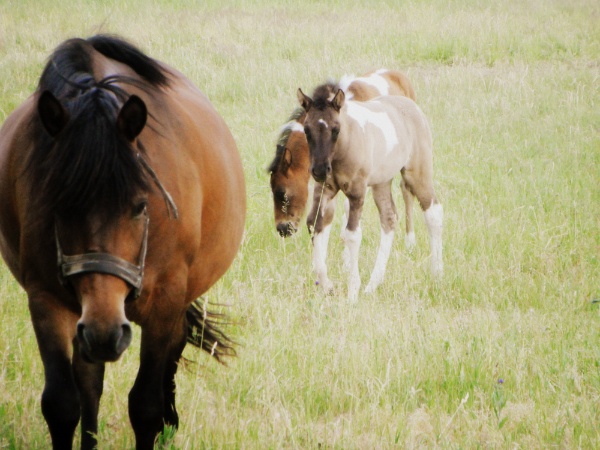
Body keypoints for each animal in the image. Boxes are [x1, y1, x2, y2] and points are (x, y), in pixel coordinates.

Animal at [0, 35, 245, 449]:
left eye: (140, 205)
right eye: (57, 205)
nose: (105, 331)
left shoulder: (165, 302)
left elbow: (144, 405)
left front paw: (160, 423)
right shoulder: (47, 300)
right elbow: (62, 403)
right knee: (90, 382)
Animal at [297, 82, 442, 302]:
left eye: (336, 129)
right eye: (306, 129)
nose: (320, 170)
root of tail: (413, 107)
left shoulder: (357, 191)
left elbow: (352, 234)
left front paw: (352, 293)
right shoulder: (326, 189)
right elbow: (314, 224)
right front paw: (327, 286)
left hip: (417, 174)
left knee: (433, 212)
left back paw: (436, 274)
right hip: (382, 182)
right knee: (389, 218)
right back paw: (373, 285)